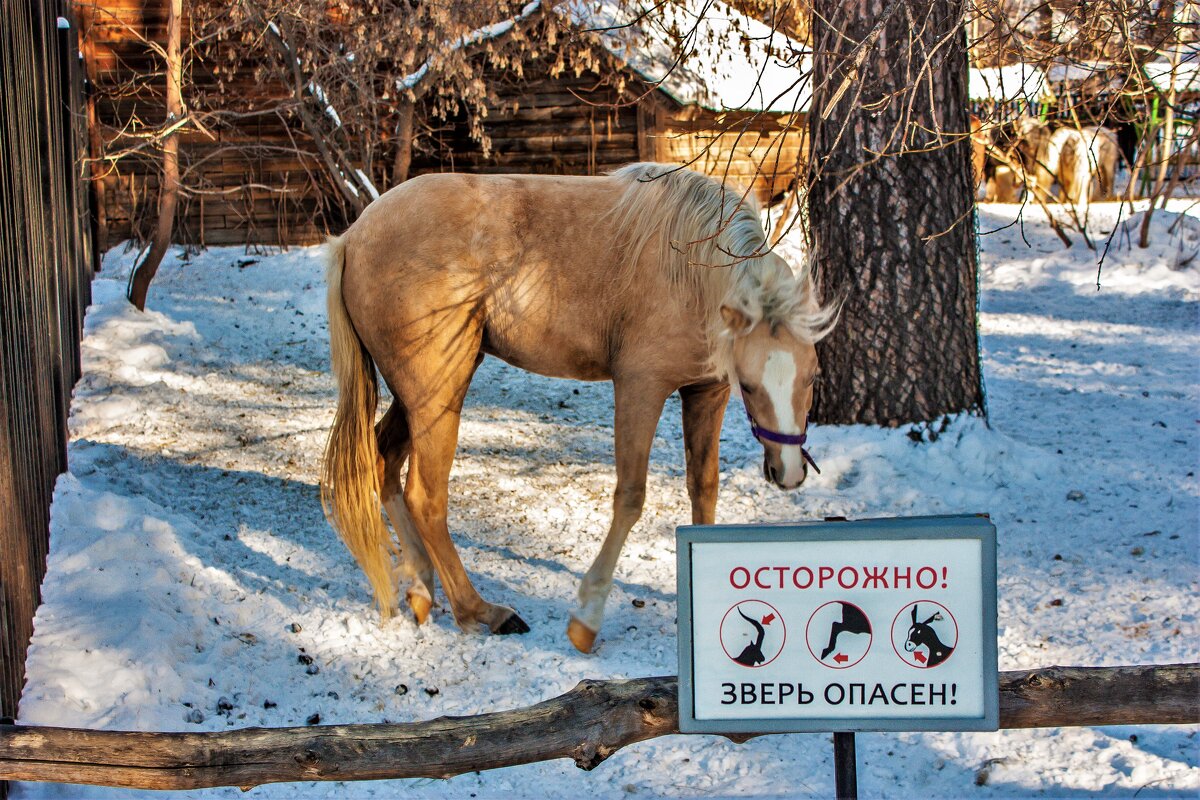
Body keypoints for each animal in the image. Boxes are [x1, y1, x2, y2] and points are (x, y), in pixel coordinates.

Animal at [324, 163, 840, 652]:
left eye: (812, 377)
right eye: (750, 386)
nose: (789, 471)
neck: (691, 270)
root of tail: (354, 235)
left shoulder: (705, 393)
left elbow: (704, 489)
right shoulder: (640, 388)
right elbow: (630, 498)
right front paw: (586, 619)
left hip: (423, 394)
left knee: (384, 461)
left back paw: (422, 587)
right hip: (437, 395)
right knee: (425, 496)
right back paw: (480, 610)